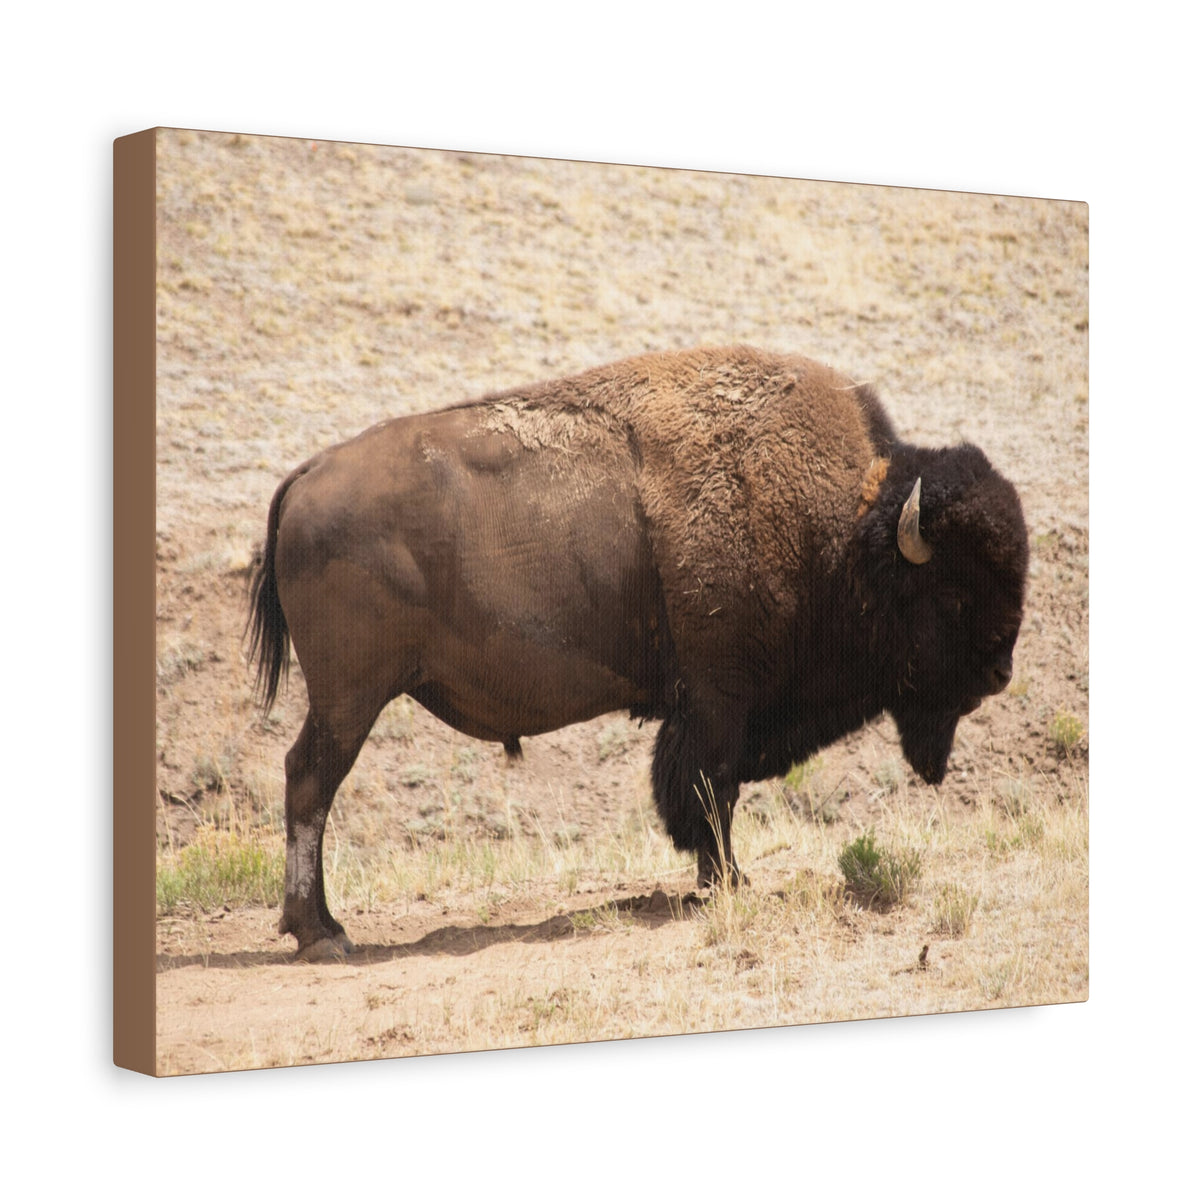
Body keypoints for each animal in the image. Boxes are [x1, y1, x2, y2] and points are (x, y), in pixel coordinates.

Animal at [248, 346, 1028, 960]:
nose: (1000, 672)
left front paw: (719, 880)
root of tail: (307, 475)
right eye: (953, 592)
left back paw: (321, 926)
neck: (846, 533)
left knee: (308, 782)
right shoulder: (718, 701)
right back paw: (322, 934)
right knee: (310, 781)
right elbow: (711, 791)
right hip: (350, 697)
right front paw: (729, 882)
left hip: (347, 697)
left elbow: (710, 794)